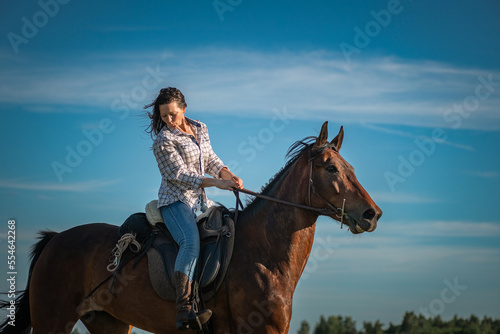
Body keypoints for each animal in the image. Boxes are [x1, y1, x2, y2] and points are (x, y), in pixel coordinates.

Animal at [0, 122, 382, 334]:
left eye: (349, 167)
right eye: (331, 168)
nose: (372, 214)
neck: (262, 255)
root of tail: (54, 241)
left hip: (109, 323)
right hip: (53, 321)